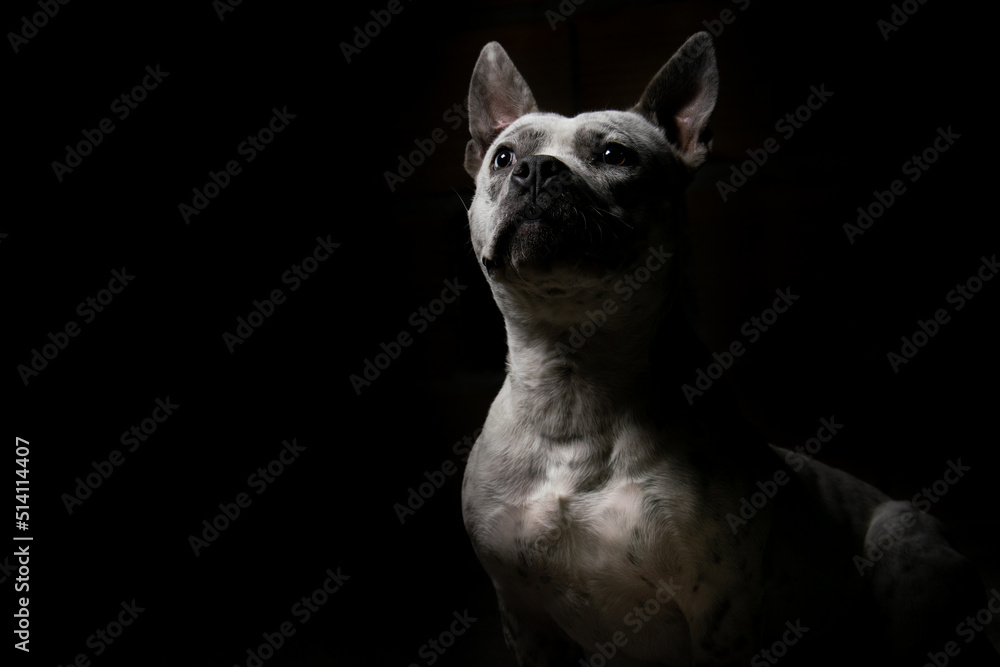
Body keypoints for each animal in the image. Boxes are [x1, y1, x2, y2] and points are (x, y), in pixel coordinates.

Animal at [458, 31, 992, 667]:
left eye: (615, 156)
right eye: (503, 157)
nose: (537, 169)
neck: (573, 385)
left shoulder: (717, 613)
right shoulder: (525, 617)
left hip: (902, 545)